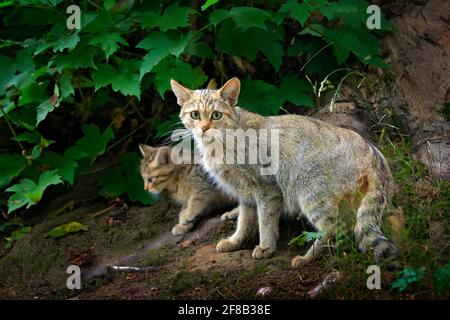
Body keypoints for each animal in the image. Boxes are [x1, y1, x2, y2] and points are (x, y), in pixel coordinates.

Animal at [171, 78, 398, 268]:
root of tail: (374, 153)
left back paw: (307, 258)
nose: (204, 128)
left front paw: (266, 247)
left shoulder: (266, 189)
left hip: (310, 192)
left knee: (334, 229)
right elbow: (244, 222)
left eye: (216, 115)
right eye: (195, 114)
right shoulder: (246, 194)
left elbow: (265, 221)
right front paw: (235, 241)